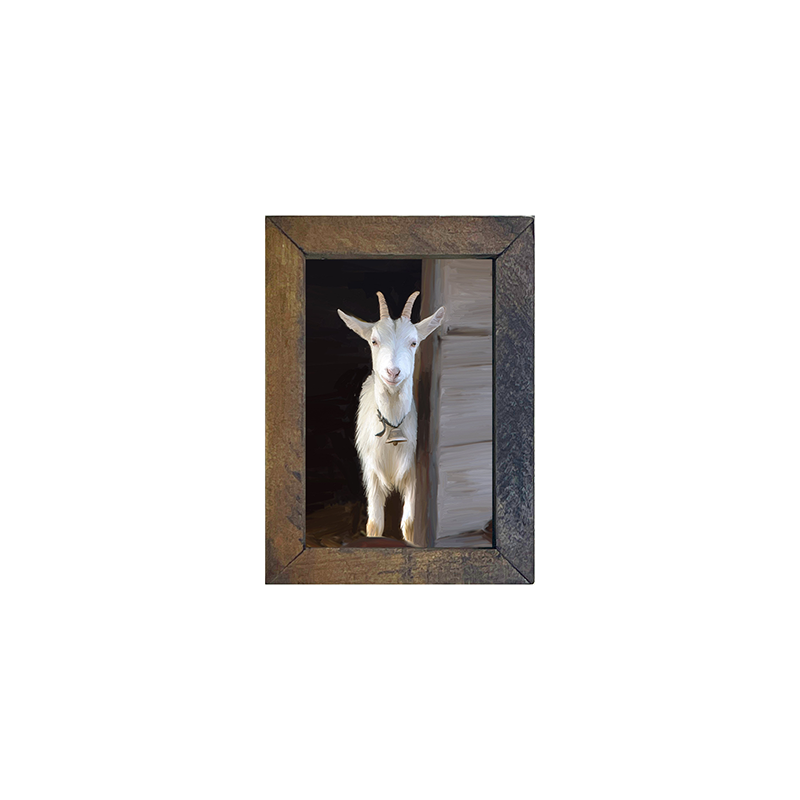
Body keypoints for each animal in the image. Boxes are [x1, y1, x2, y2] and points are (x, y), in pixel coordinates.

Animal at [338, 291, 445, 543]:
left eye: (414, 342)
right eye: (374, 341)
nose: (393, 372)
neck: (392, 426)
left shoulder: (414, 475)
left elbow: (410, 525)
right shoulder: (371, 472)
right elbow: (374, 524)